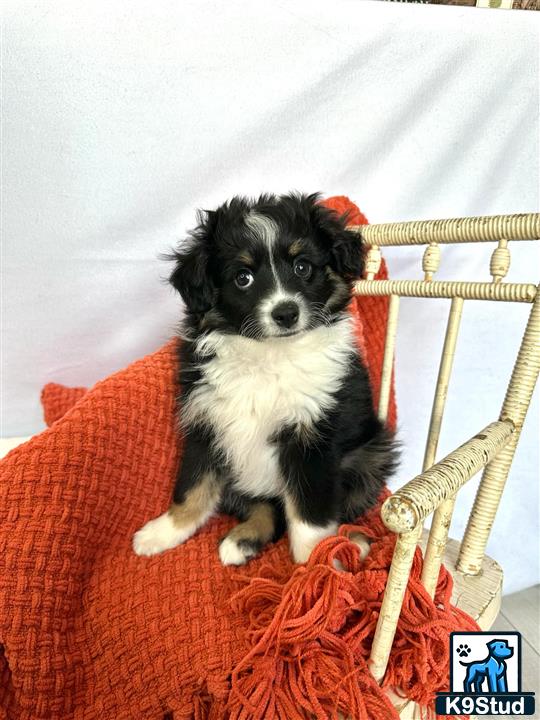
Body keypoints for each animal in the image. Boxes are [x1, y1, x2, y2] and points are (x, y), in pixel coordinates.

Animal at [133, 194, 398, 564]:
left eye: (303, 267)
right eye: (243, 277)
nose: (286, 313)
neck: (268, 354)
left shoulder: (313, 435)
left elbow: (309, 510)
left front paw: (313, 561)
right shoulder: (204, 422)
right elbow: (192, 485)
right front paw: (165, 531)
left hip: (371, 454)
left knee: (346, 504)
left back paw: (353, 541)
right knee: (265, 507)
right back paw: (242, 539)